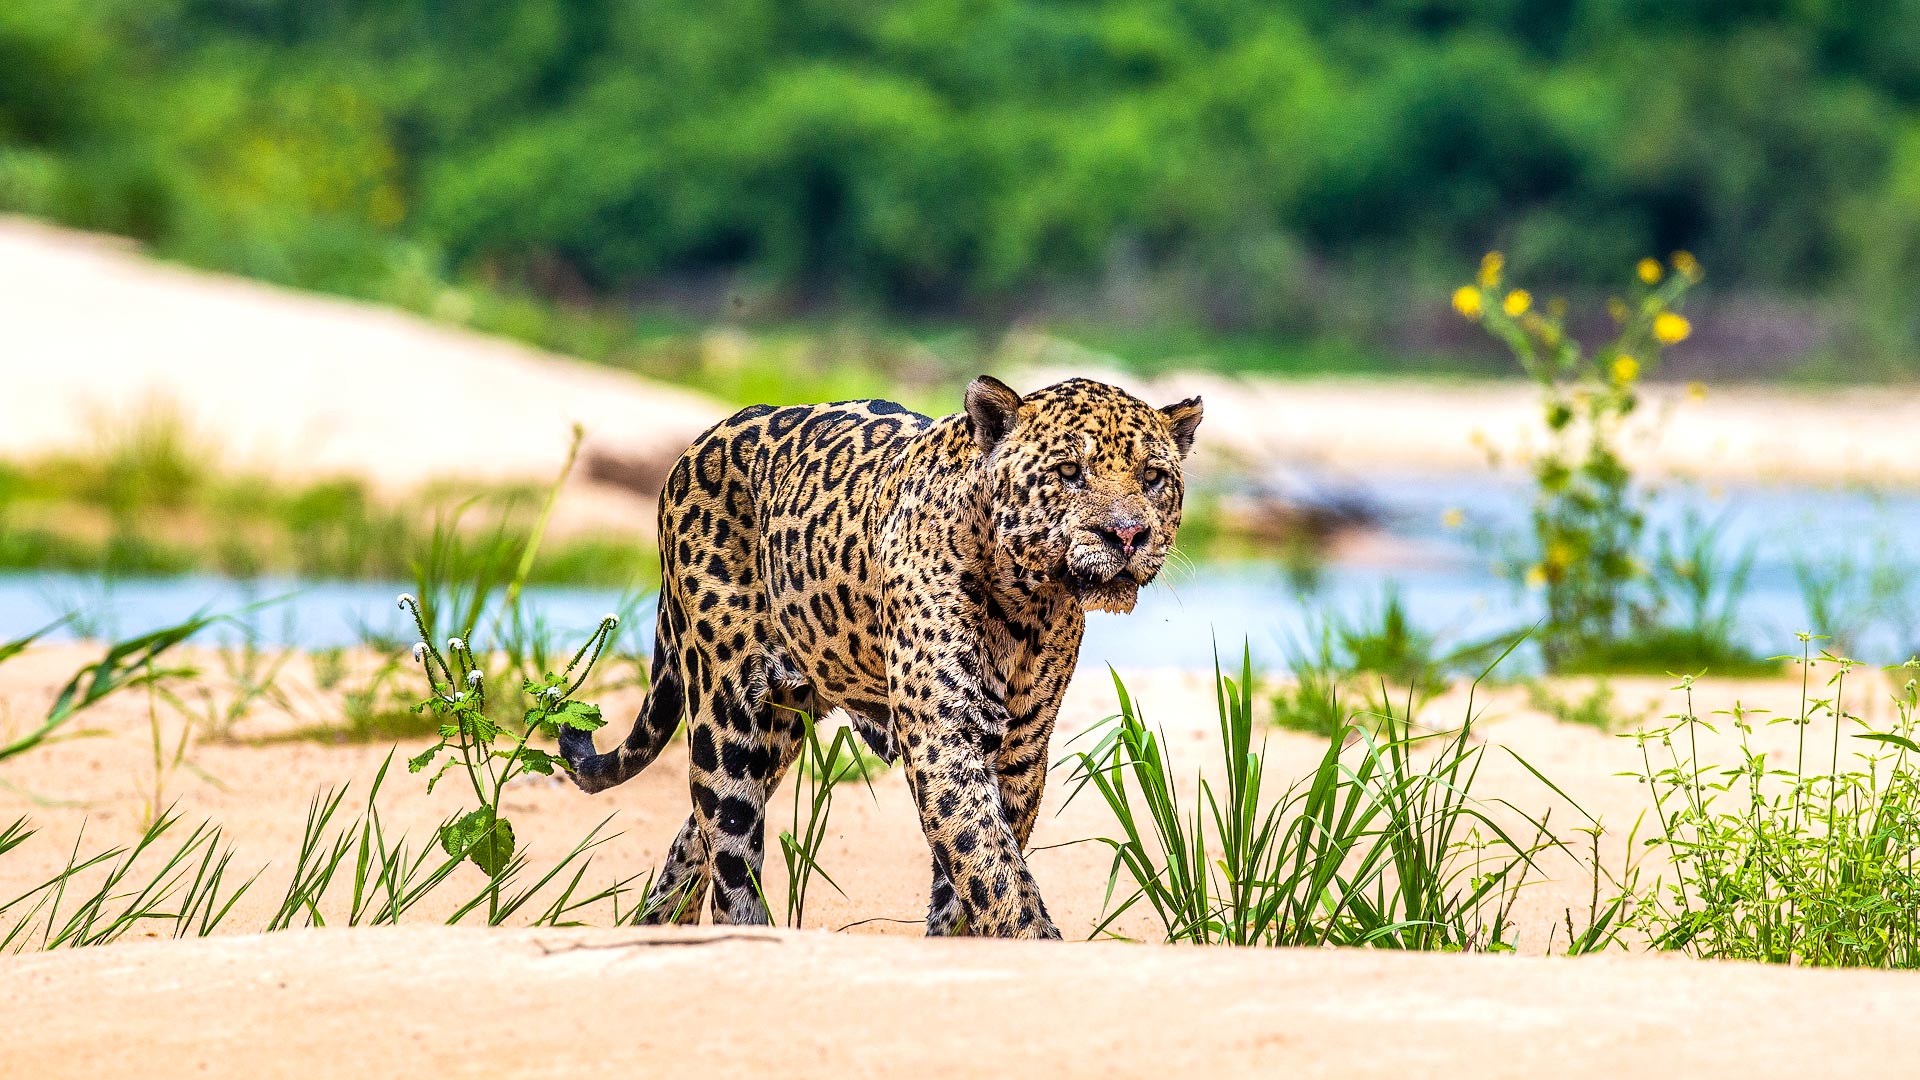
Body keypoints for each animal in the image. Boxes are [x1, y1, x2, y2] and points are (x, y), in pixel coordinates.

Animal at [559, 374, 1202, 939]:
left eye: (1153, 477)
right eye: (1069, 472)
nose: (1128, 535)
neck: (1028, 605)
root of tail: (696, 445)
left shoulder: (1022, 750)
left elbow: (972, 871)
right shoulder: (945, 738)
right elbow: (994, 867)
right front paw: (1033, 942)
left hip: (781, 725)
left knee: (695, 840)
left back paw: (657, 929)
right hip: (726, 716)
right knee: (731, 853)